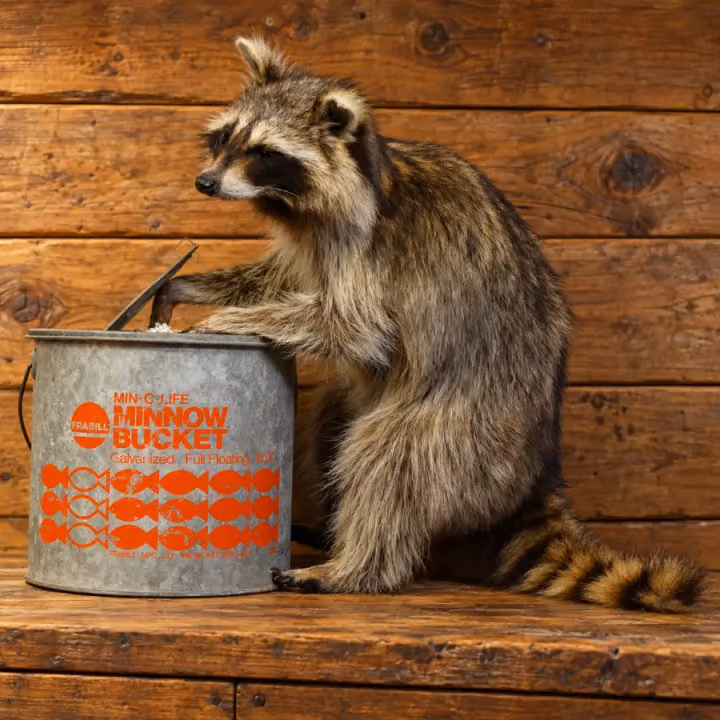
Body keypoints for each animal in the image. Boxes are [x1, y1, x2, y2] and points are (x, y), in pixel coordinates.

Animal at [152, 36, 704, 611]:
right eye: (226, 136)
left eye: (263, 152)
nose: (205, 182)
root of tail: (539, 471)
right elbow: (281, 279)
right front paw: (188, 287)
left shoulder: (371, 245)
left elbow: (355, 327)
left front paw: (227, 318)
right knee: (331, 425)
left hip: (471, 430)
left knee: (390, 459)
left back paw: (355, 566)